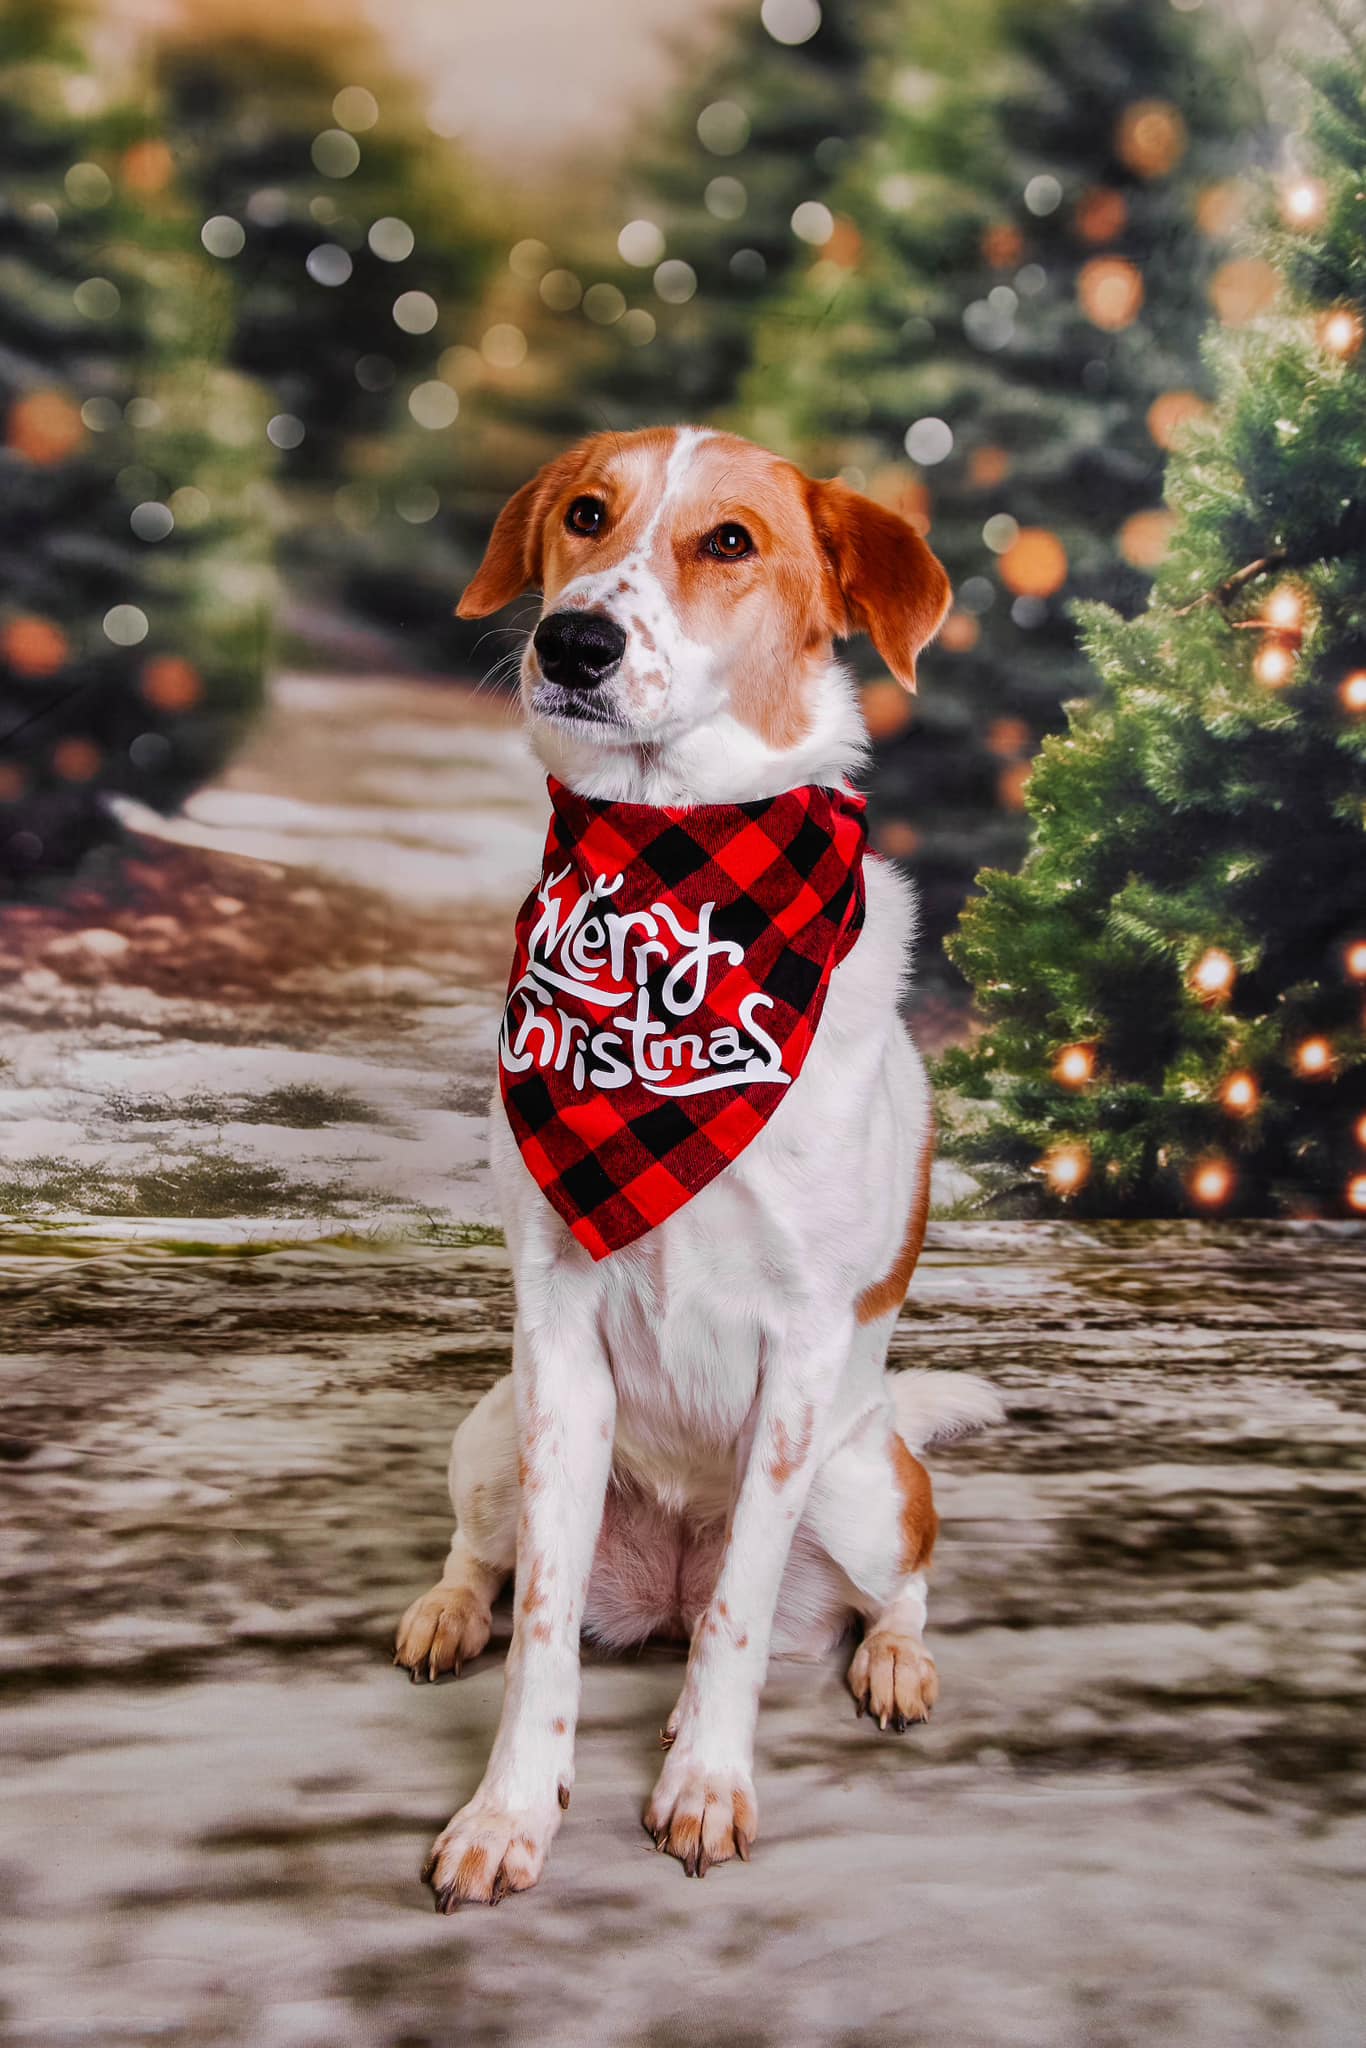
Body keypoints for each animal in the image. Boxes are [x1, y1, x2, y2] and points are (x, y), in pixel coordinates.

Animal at [395, 423, 1003, 1908]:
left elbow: (736, 1613)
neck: (669, 866)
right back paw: (445, 1610)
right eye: (584, 515)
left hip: (860, 1476)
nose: (570, 639)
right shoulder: (556, 1338)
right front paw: (508, 1810)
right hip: (495, 1423)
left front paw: (704, 1782)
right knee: (483, 1552)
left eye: (730, 541)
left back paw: (889, 1658)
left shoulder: (798, 1348)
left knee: (892, 1580)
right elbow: (542, 1626)